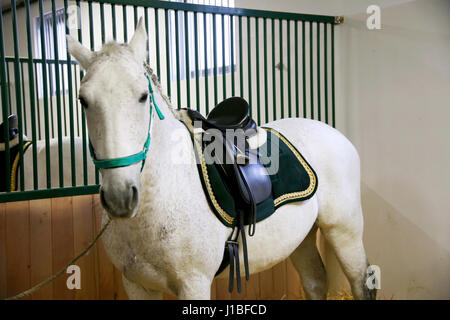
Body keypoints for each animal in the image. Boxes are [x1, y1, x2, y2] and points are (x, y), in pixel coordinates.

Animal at [67, 19, 376, 300]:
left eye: (143, 96)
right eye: (83, 100)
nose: (120, 196)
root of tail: (334, 132)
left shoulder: (194, 284)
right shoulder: (137, 285)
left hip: (345, 231)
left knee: (361, 283)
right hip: (302, 238)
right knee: (315, 282)